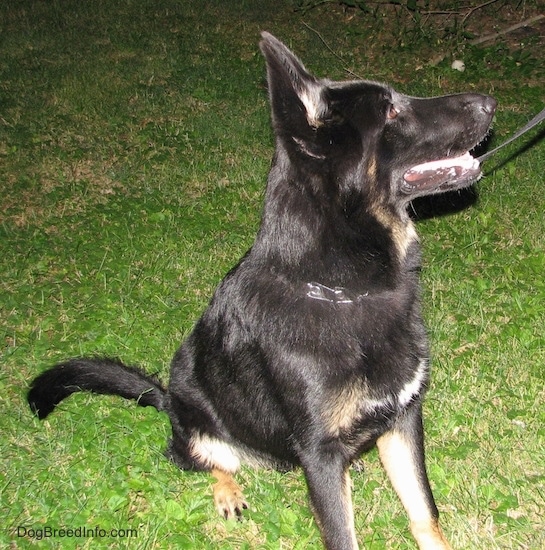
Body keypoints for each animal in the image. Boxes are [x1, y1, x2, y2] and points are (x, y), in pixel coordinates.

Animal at [29, 33, 498, 550]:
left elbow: (424, 514)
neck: (340, 287)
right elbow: (342, 534)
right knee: (197, 458)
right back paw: (226, 489)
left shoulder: (402, 422)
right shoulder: (322, 455)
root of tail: (169, 401)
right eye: (391, 110)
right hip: (200, 427)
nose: (490, 101)